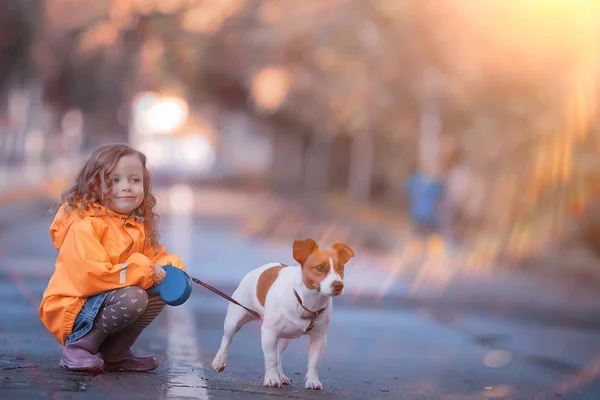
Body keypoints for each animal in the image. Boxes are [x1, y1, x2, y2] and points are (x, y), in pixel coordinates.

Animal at [211, 239, 354, 390]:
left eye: (341, 267)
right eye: (320, 267)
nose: (339, 285)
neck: (305, 301)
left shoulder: (319, 338)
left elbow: (313, 362)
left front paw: (312, 381)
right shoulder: (269, 333)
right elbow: (271, 358)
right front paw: (272, 378)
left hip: (286, 337)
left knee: (279, 353)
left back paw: (282, 376)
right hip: (234, 320)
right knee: (227, 339)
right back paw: (219, 361)